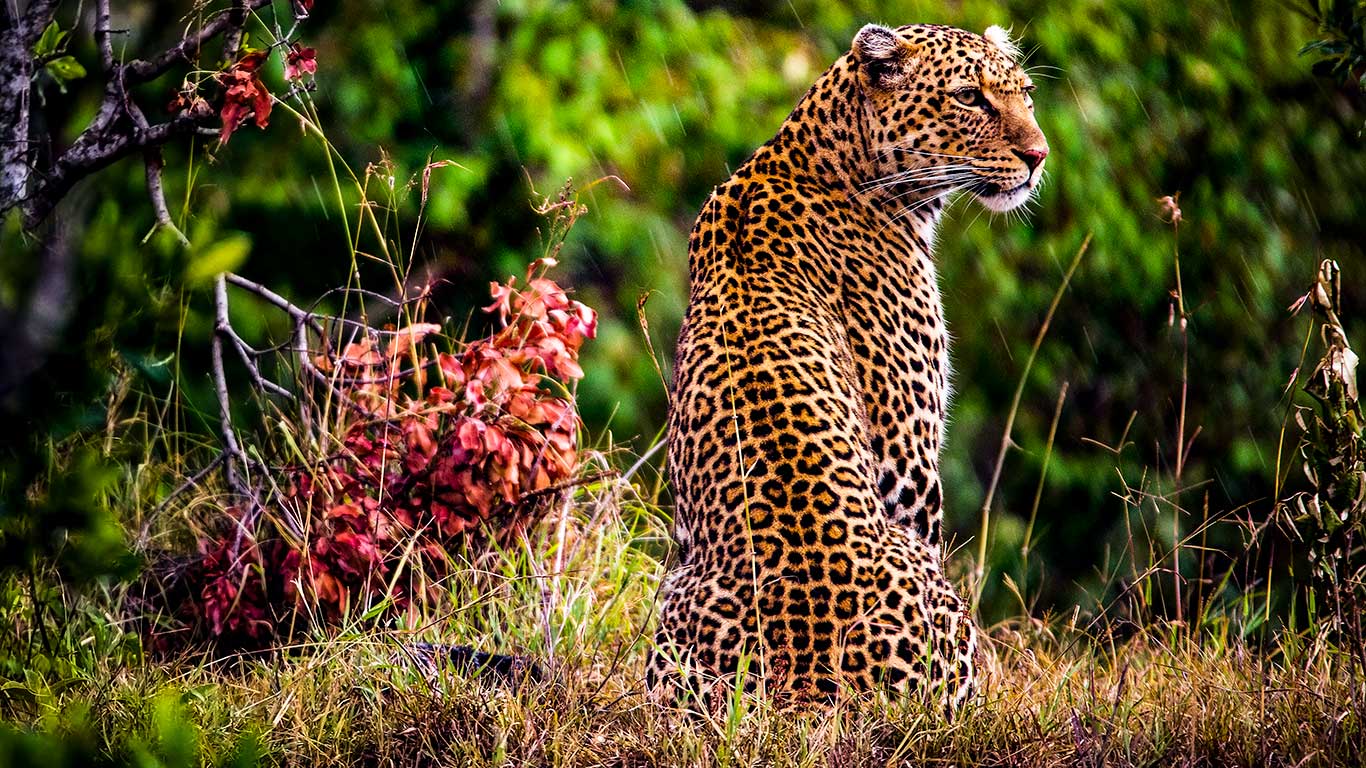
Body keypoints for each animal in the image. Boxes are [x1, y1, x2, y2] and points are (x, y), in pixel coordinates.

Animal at [647, 22, 1049, 711]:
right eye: (970, 97)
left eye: (1023, 92)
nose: (1039, 155)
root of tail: (807, 685)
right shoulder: (909, 466)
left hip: (674, 602)